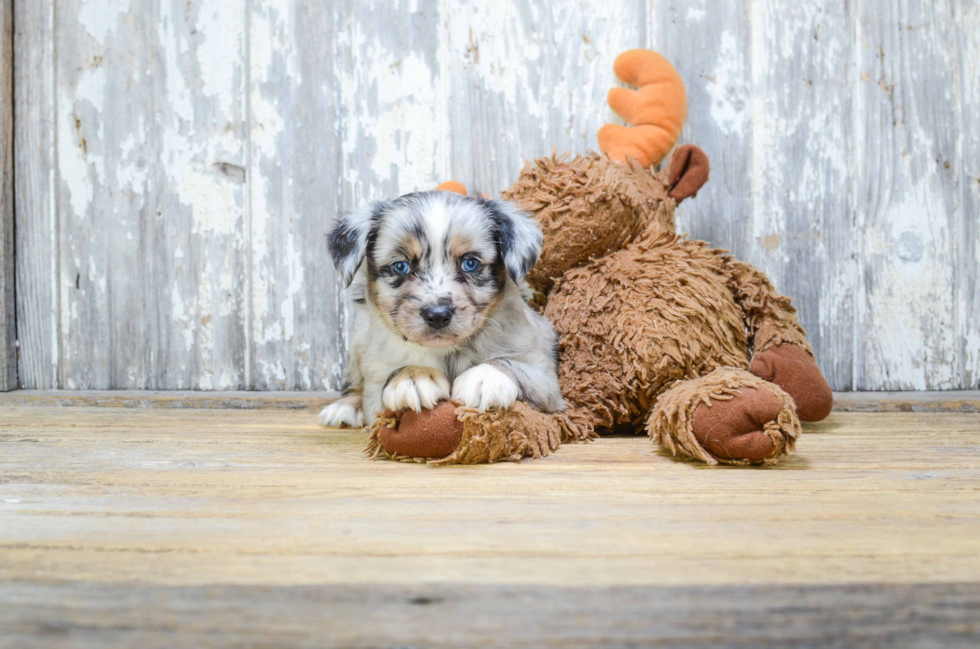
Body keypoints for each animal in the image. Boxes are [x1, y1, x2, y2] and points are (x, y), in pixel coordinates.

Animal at [320, 190, 564, 428]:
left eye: (470, 263)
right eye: (401, 266)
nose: (437, 315)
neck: (446, 351)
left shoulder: (545, 379)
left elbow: (512, 365)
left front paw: (485, 376)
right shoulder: (376, 387)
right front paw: (413, 376)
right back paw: (345, 407)